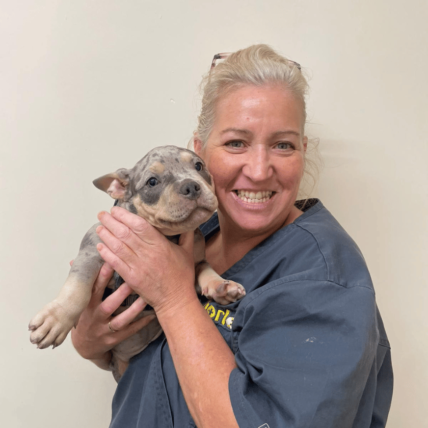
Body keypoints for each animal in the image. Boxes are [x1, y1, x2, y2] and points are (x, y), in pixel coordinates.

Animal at [28, 145, 246, 380]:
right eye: (152, 182)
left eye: (198, 166)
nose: (191, 186)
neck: (169, 236)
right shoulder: (91, 253)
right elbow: (77, 288)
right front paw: (56, 318)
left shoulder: (195, 261)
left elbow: (206, 269)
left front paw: (222, 285)